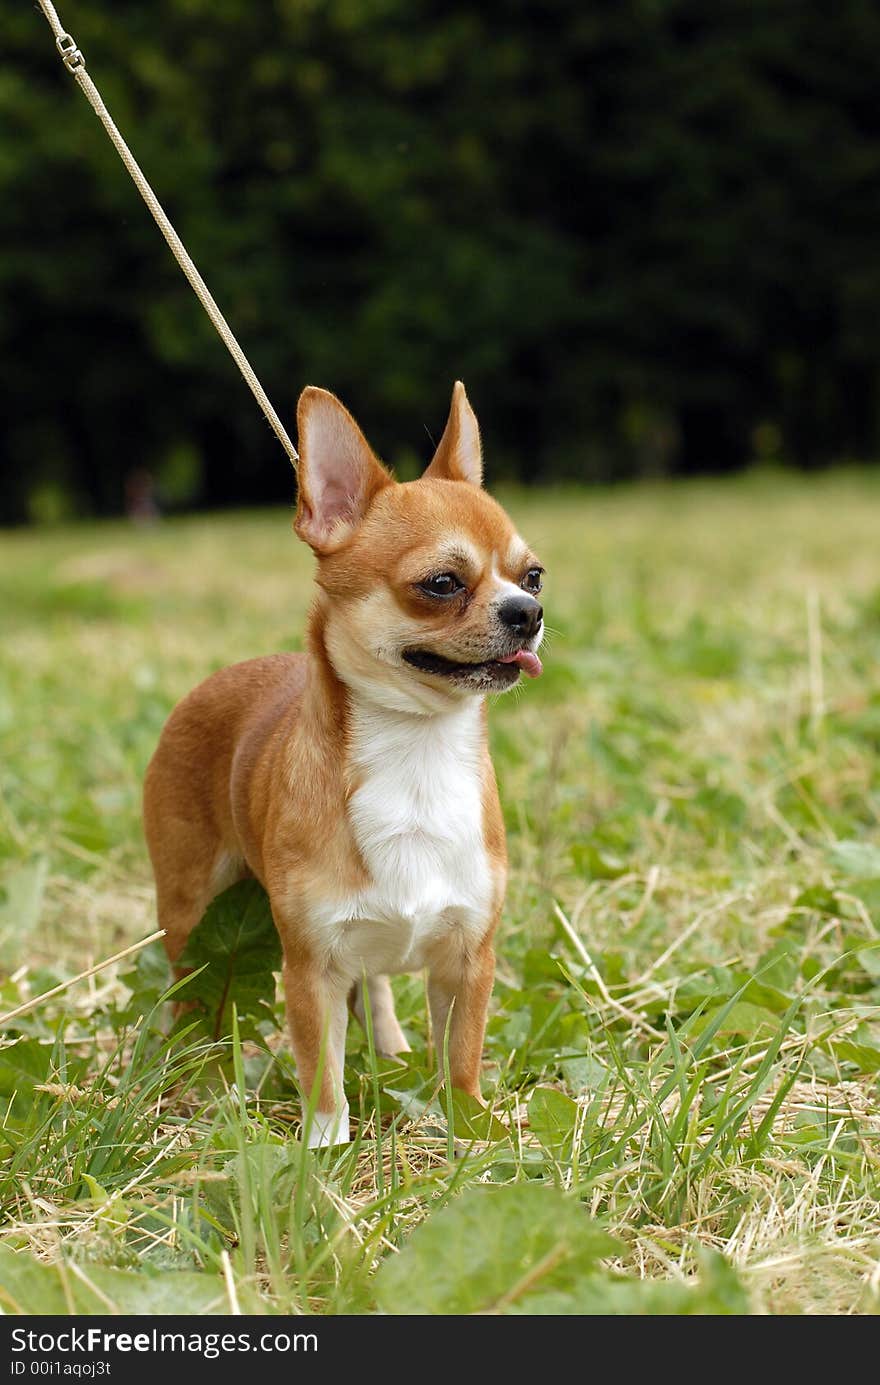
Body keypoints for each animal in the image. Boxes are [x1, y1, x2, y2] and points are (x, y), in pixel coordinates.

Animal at [142, 385, 543, 1141]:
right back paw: (192, 1075)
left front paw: (471, 1128)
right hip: (190, 911)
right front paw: (324, 1146)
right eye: (442, 583)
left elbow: (462, 1057)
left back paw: (390, 1048)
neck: (418, 752)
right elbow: (321, 1072)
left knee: (377, 986)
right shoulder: (312, 968)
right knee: (189, 991)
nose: (527, 611)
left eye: (533, 575)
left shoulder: (466, 961)